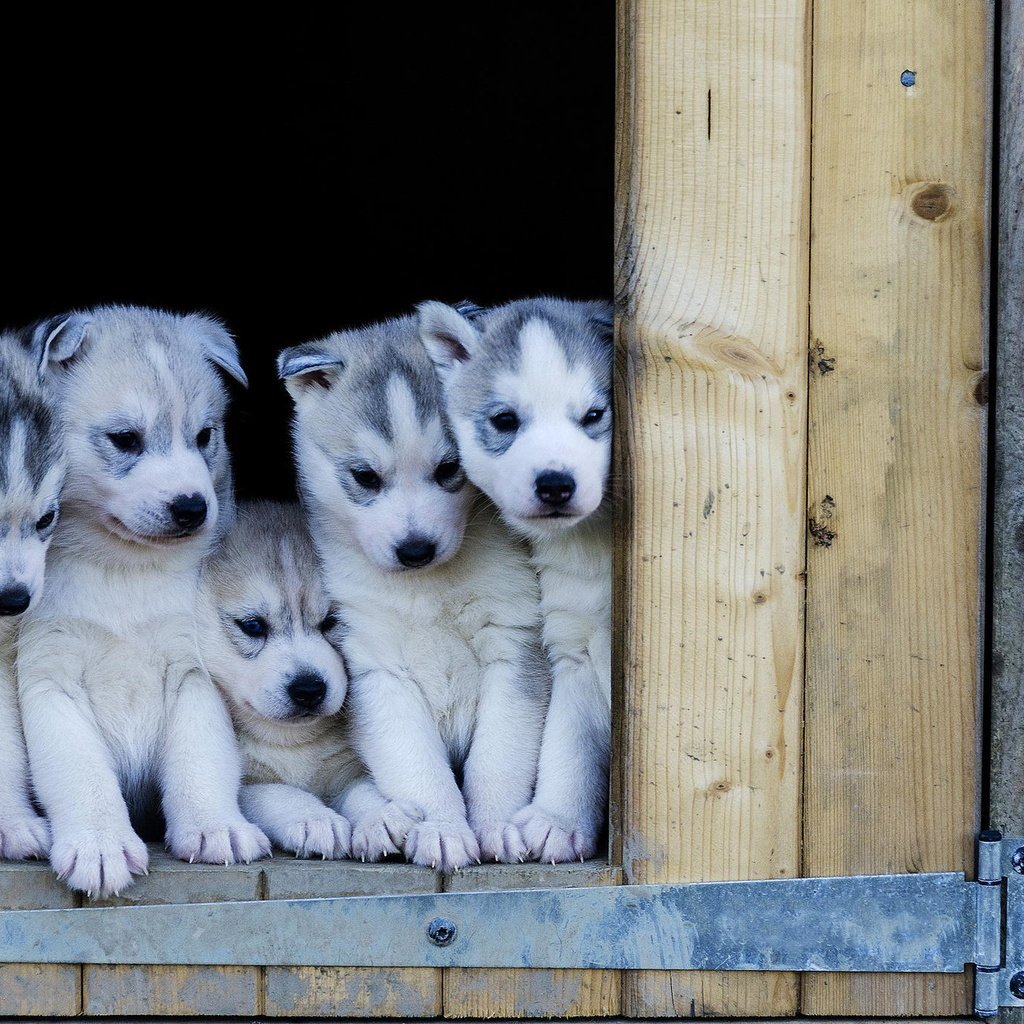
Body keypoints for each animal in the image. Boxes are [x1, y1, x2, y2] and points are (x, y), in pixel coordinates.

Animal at [18, 305, 272, 897]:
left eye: (204, 435)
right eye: (125, 438)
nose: (192, 507)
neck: (121, 571)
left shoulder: (191, 670)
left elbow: (201, 756)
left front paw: (215, 826)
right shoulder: (48, 678)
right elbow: (80, 769)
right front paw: (100, 844)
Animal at [199, 499, 411, 860]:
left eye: (332, 621)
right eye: (253, 626)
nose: (309, 689)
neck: (292, 743)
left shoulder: (349, 767)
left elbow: (362, 789)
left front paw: (381, 815)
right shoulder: (248, 787)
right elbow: (277, 793)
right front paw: (314, 819)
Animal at [278, 315, 552, 868]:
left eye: (450, 469)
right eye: (364, 476)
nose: (415, 549)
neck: (429, 591)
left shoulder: (514, 645)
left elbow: (498, 756)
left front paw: (495, 826)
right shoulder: (377, 667)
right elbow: (418, 769)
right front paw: (442, 829)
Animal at [417, 299, 610, 864]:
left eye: (594, 416)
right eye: (505, 420)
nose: (555, 484)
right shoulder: (572, 643)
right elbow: (569, 742)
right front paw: (557, 820)